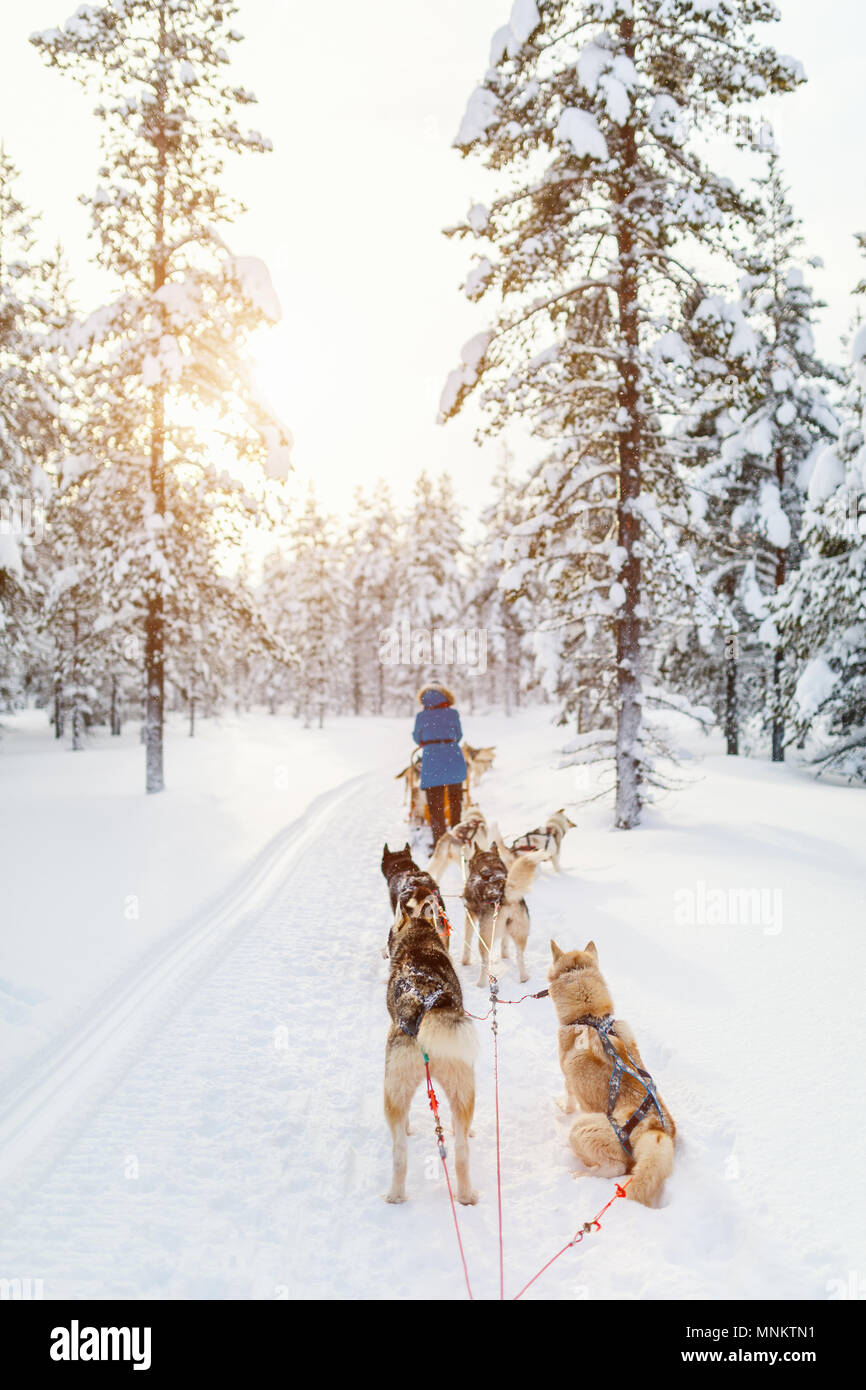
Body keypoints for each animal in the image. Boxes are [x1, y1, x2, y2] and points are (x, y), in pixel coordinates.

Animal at [461, 839, 542, 984]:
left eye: (469, 861)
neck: (487, 863)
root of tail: (504, 895)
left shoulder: (469, 914)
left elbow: (466, 941)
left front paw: (465, 962)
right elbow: (505, 942)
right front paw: (505, 956)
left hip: (484, 938)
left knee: (485, 961)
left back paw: (480, 984)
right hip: (519, 933)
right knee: (520, 956)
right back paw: (524, 978)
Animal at [547, 945, 678, 1206]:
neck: (591, 1016)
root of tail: (656, 1130)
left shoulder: (568, 1078)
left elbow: (568, 1100)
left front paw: (561, 1105)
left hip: (581, 1129)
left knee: (615, 1168)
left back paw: (581, 1174)